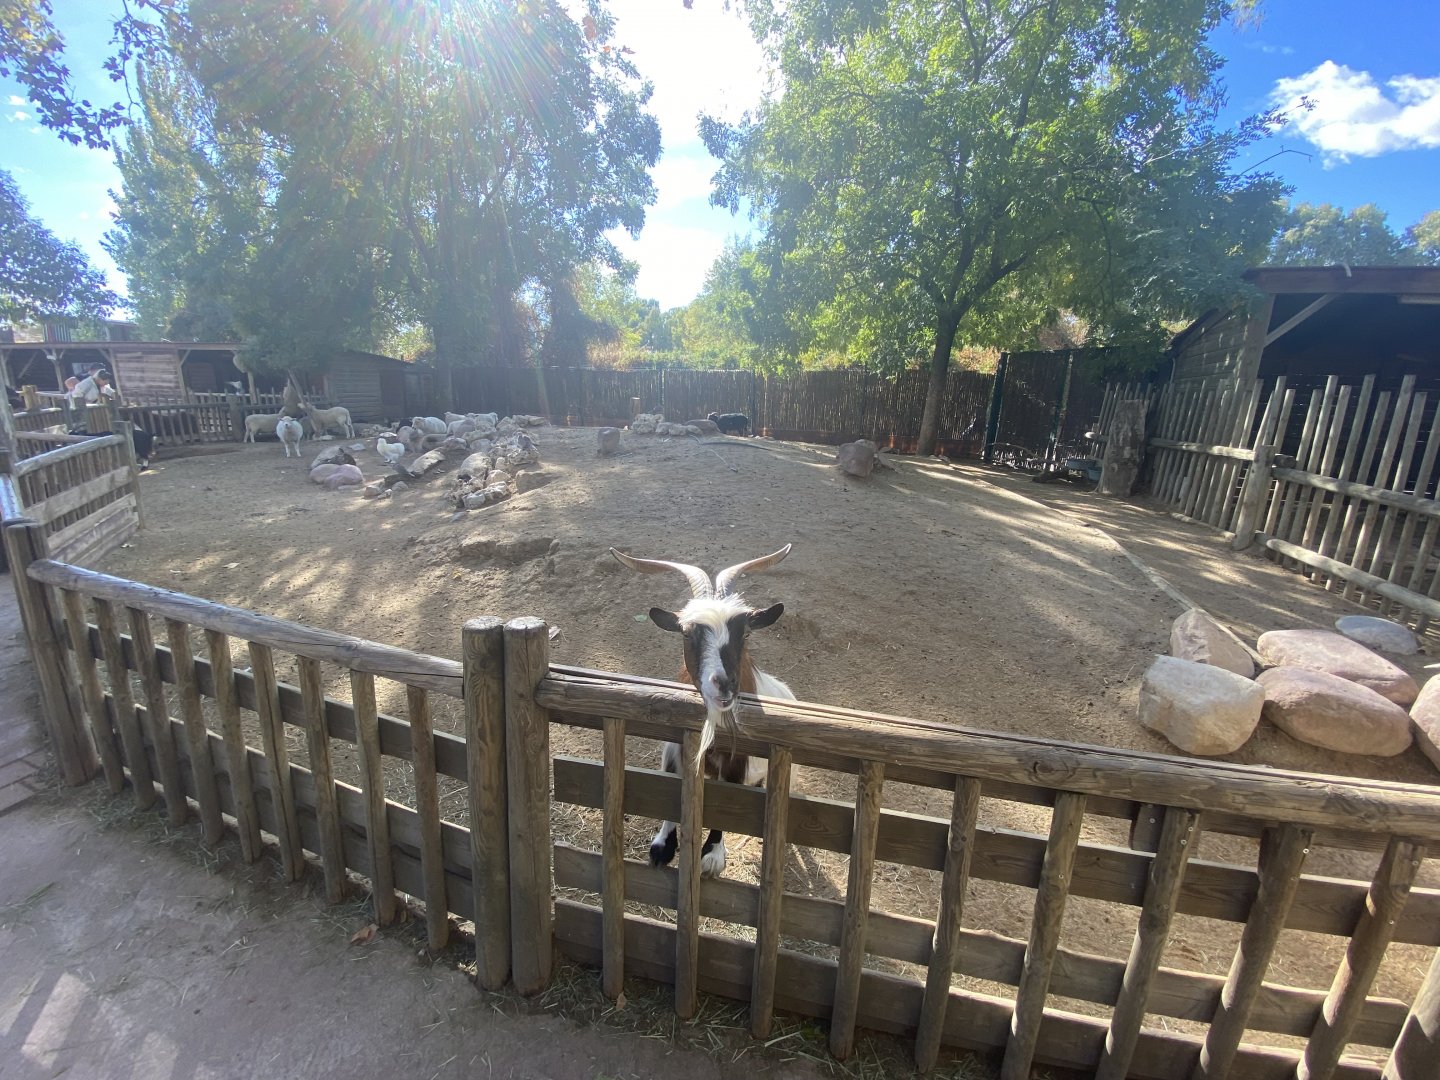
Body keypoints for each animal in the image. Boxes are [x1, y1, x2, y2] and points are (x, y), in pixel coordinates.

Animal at [610, 544, 794, 877]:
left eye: (746, 633)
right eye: (686, 633)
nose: (723, 684)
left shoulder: (737, 762)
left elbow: (727, 798)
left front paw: (712, 855)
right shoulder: (675, 748)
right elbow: (673, 783)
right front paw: (662, 846)